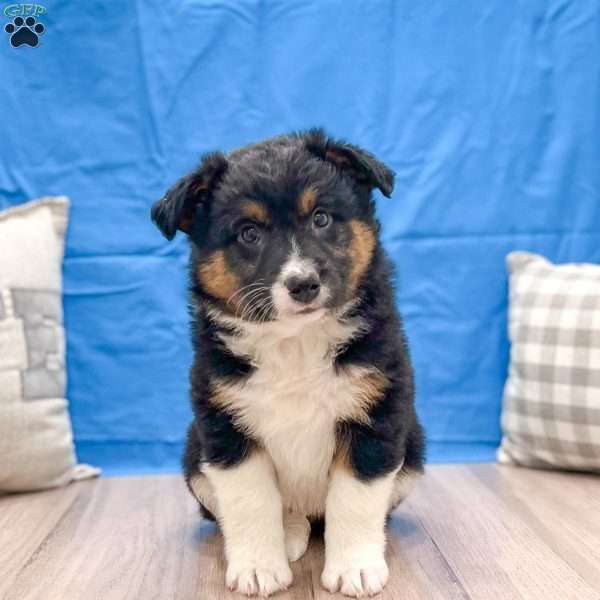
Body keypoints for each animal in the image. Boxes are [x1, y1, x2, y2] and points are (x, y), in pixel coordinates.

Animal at [150, 129, 424, 596]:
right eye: (248, 233)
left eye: (321, 218)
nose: (303, 284)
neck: (295, 342)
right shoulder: (225, 427)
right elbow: (251, 502)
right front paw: (259, 568)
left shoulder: (377, 416)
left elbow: (356, 499)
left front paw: (355, 568)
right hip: (193, 455)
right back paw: (291, 533)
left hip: (414, 448)